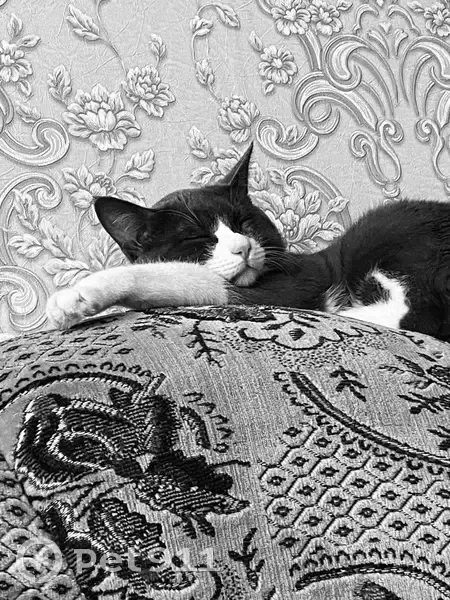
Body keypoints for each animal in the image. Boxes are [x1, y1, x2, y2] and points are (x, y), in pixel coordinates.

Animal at [46, 143, 450, 340]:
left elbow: (186, 279)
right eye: (197, 236)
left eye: (243, 221)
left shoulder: (292, 282)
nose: (243, 246)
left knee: (420, 314)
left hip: (391, 236)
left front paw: (77, 296)